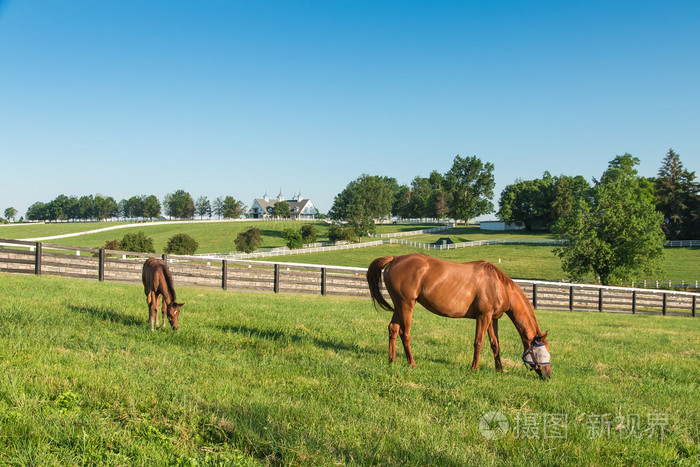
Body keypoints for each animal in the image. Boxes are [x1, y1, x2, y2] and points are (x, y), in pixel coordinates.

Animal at [366, 256, 552, 380]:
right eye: (543, 353)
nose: (549, 375)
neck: (498, 286)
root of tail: (395, 259)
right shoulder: (483, 316)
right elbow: (479, 343)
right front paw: (474, 368)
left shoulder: (493, 319)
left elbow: (495, 345)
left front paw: (499, 369)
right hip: (406, 305)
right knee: (405, 334)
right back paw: (411, 363)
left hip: (399, 306)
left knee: (393, 329)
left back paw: (392, 360)